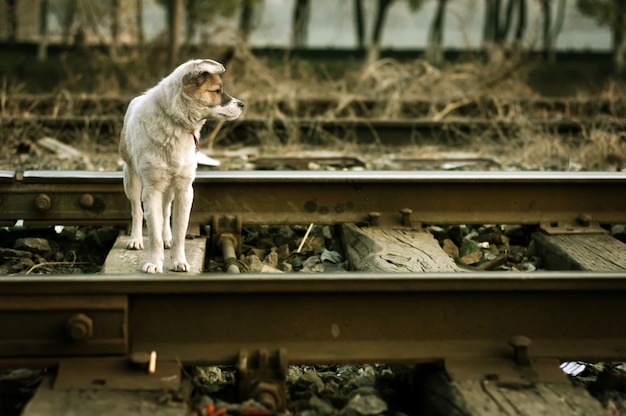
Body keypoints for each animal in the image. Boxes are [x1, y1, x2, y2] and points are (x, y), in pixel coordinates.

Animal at [119, 58, 241, 272]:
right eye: (217, 90)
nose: (242, 104)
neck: (175, 123)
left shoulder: (184, 189)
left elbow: (179, 231)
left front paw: (178, 261)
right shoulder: (151, 189)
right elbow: (153, 232)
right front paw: (154, 263)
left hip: (169, 187)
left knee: (166, 210)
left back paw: (166, 237)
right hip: (131, 178)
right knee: (137, 210)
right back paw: (135, 239)